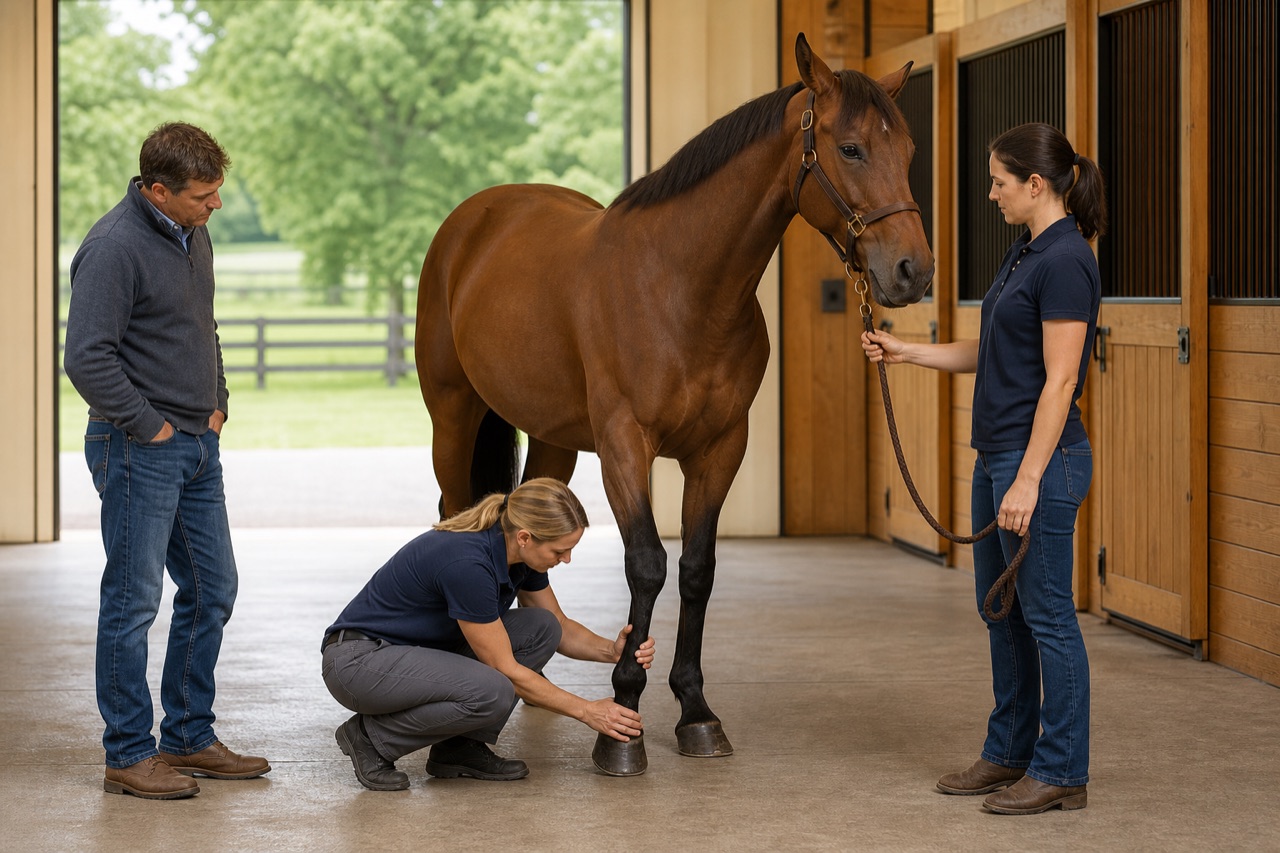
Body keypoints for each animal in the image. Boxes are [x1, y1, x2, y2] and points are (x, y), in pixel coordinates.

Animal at [415, 33, 934, 776]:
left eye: (910, 150)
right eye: (852, 148)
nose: (912, 272)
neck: (681, 286)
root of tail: (473, 220)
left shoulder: (720, 448)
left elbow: (696, 569)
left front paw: (695, 711)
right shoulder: (624, 446)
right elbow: (647, 564)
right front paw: (620, 724)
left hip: (554, 438)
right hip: (453, 414)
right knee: (453, 511)